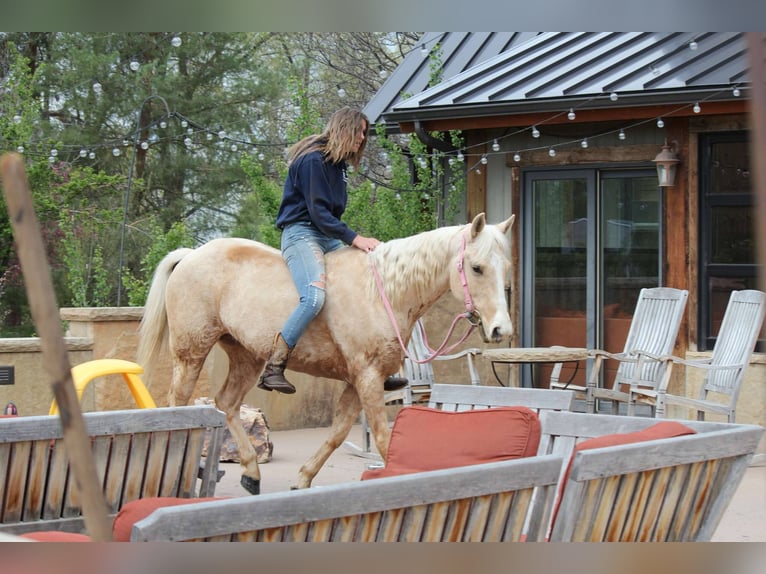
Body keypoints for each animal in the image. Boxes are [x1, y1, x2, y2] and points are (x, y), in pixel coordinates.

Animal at [137, 212, 515, 494]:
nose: (501, 330)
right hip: (191, 353)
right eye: (477, 267)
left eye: (506, 267)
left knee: (227, 404)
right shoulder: (367, 378)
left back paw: (251, 473)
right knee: (178, 405)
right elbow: (383, 439)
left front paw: (303, 479)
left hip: (247, 356)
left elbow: (337, 433)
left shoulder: (358, 381)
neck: (382, 291)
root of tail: (190, 255)